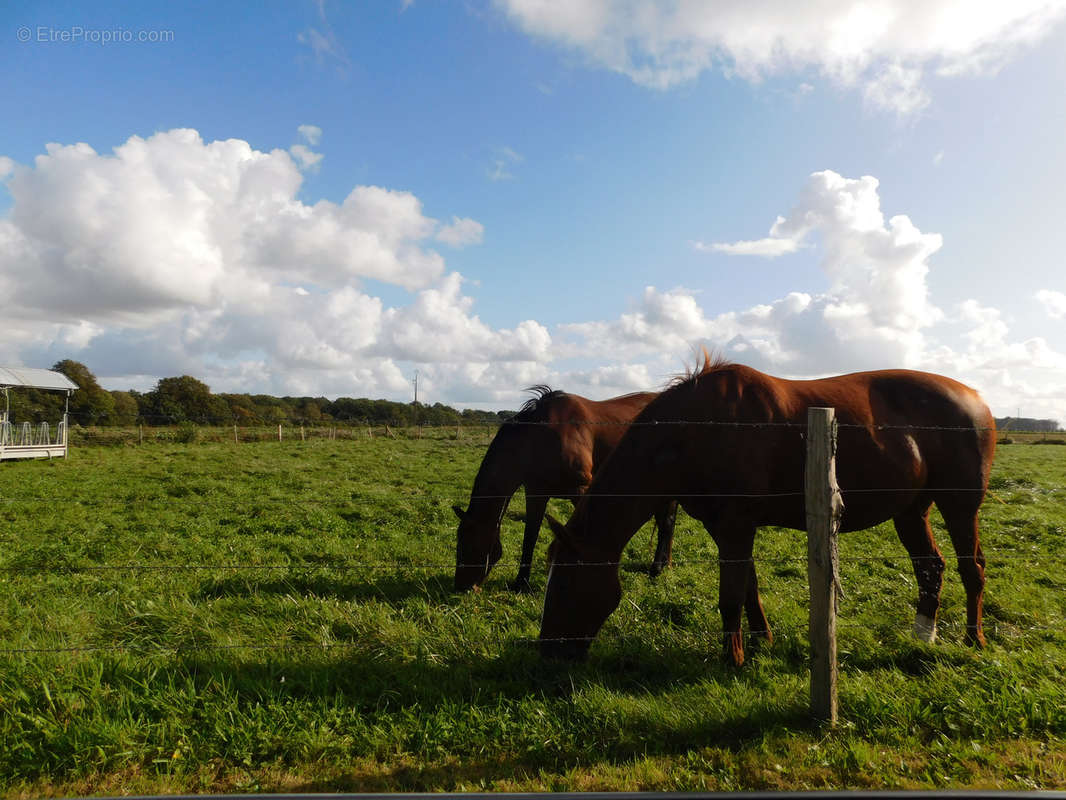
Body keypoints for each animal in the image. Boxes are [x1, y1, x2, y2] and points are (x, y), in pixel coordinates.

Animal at [454, 388, 677, 597]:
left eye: (468, 544)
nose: (461, 587)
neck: (541, 438)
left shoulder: (580, 490)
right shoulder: (536, 493)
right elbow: (530, 537)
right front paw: (521, 582)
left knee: (666, 523)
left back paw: (656, 568)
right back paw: (664, 563)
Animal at [541, 360, 997, 665]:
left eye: (564, 582)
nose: (548, 650)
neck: (696, 431)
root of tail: (977, 400)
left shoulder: (736, 527)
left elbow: (730, 596)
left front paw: (733, 658)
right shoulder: (728, 528)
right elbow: (749, 588)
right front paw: (762, 640)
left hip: (959, 506)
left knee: (970, 567)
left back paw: (974, 640)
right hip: (911, 511)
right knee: (930, 566)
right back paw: (923, 634)